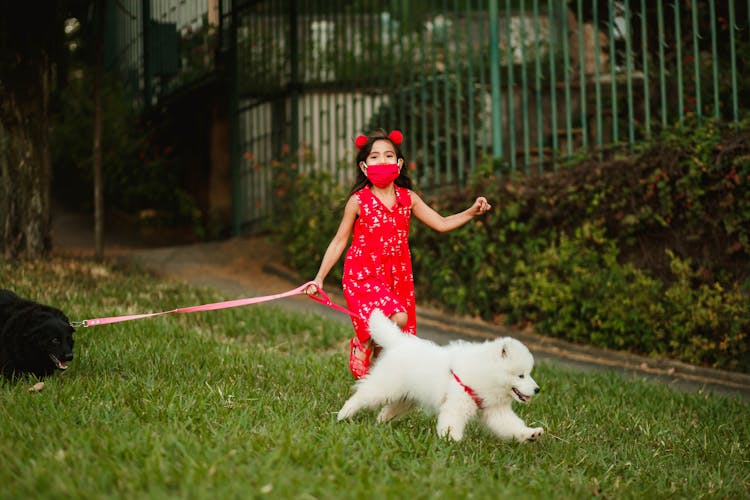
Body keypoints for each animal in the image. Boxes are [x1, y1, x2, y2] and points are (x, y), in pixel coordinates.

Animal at [340, 310, 548, 444]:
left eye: (529, 374)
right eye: (521, 375)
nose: (537, 389)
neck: (485, 373)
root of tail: (400, 342)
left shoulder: (496, 410)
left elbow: (512, 425)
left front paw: (531, 434)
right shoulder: (458, 402)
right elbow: (452, 421)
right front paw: (452, 440)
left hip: (406, 397)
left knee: (388, 409)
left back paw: (380, 423)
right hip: (387, 386)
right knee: (362, 395)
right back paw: (344, 414)